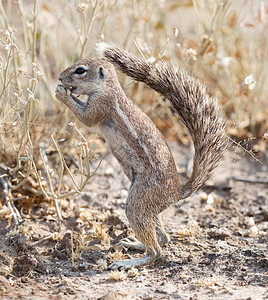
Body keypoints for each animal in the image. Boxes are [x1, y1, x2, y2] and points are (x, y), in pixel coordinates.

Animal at [55, 43, 226, 270]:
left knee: (156, 251)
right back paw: (134, 243)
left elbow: (87, 118)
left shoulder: (101, 103)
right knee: (163, 237)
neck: (108, 87)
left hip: (138, 202)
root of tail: (176, 193)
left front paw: (62, 93)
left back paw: (130, 262)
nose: (59, 77)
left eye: (80, 70)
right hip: (148, 207)